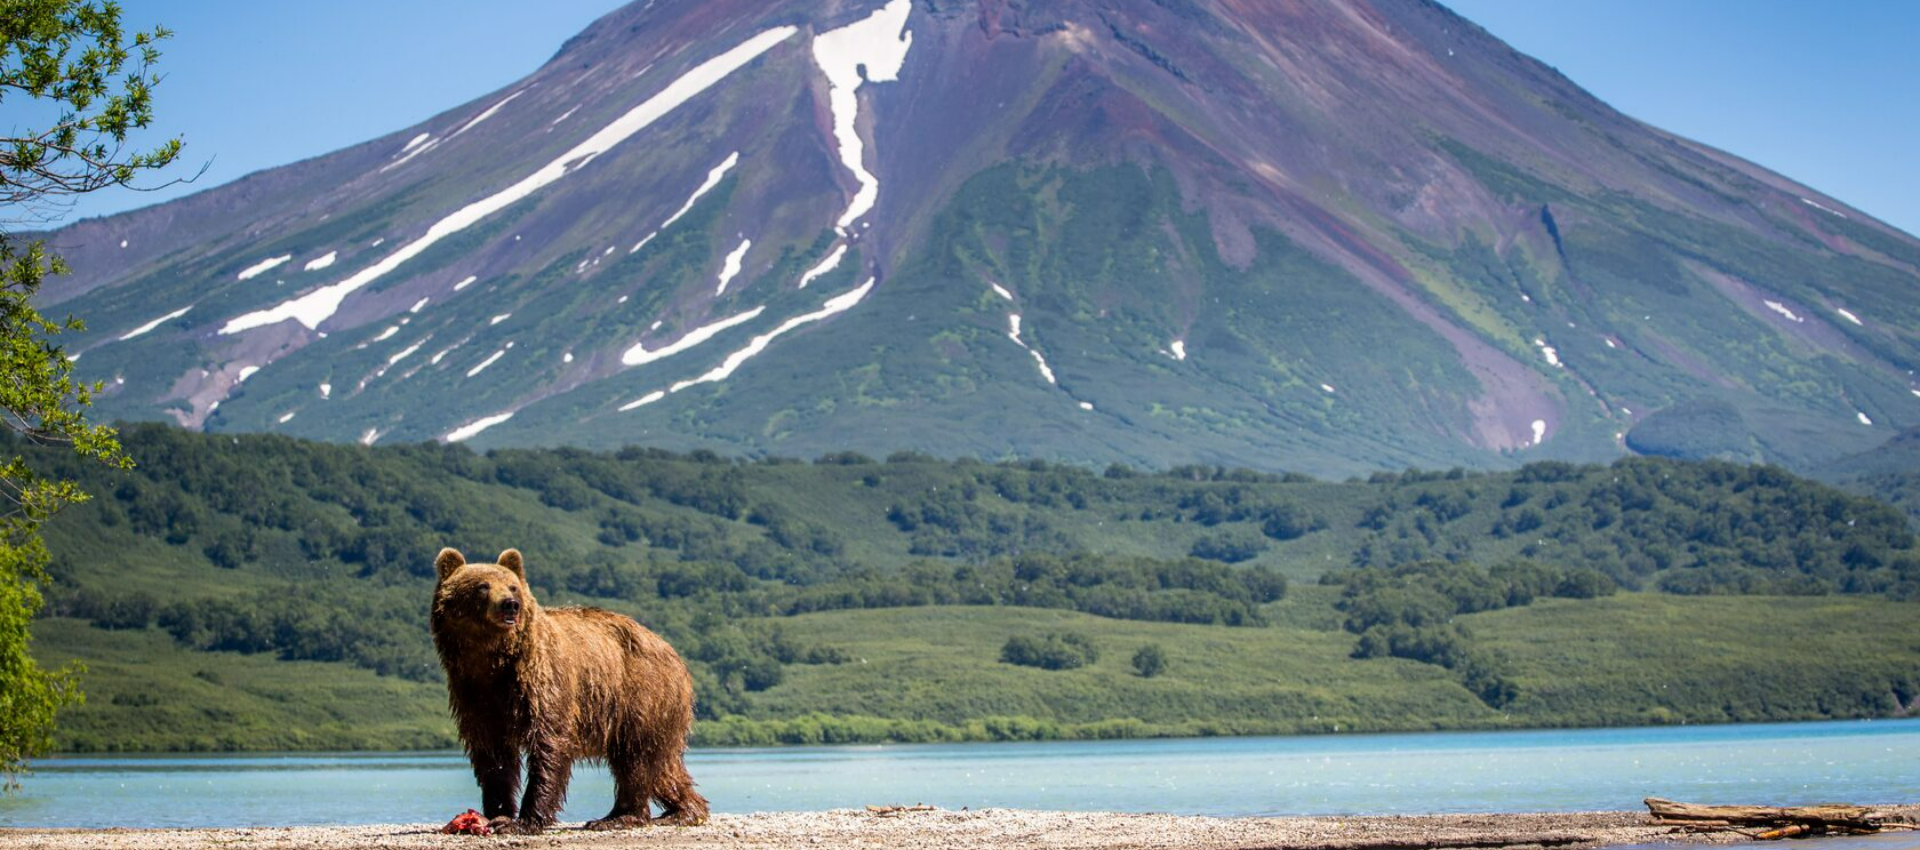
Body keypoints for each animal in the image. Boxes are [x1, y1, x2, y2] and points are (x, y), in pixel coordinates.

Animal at [432, 548, 710, 836]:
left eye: (513, 586)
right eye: (483, 586)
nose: (510, 604)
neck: (493, 660)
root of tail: (673, 653)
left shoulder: (542, 681)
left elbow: (549, 743)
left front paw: (523, 821)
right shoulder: (474, 693)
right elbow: (492, 753)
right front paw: (497, 812)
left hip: (642, 693)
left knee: (636, 759)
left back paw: (620, 816)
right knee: (663, 766)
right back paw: (683, 810)